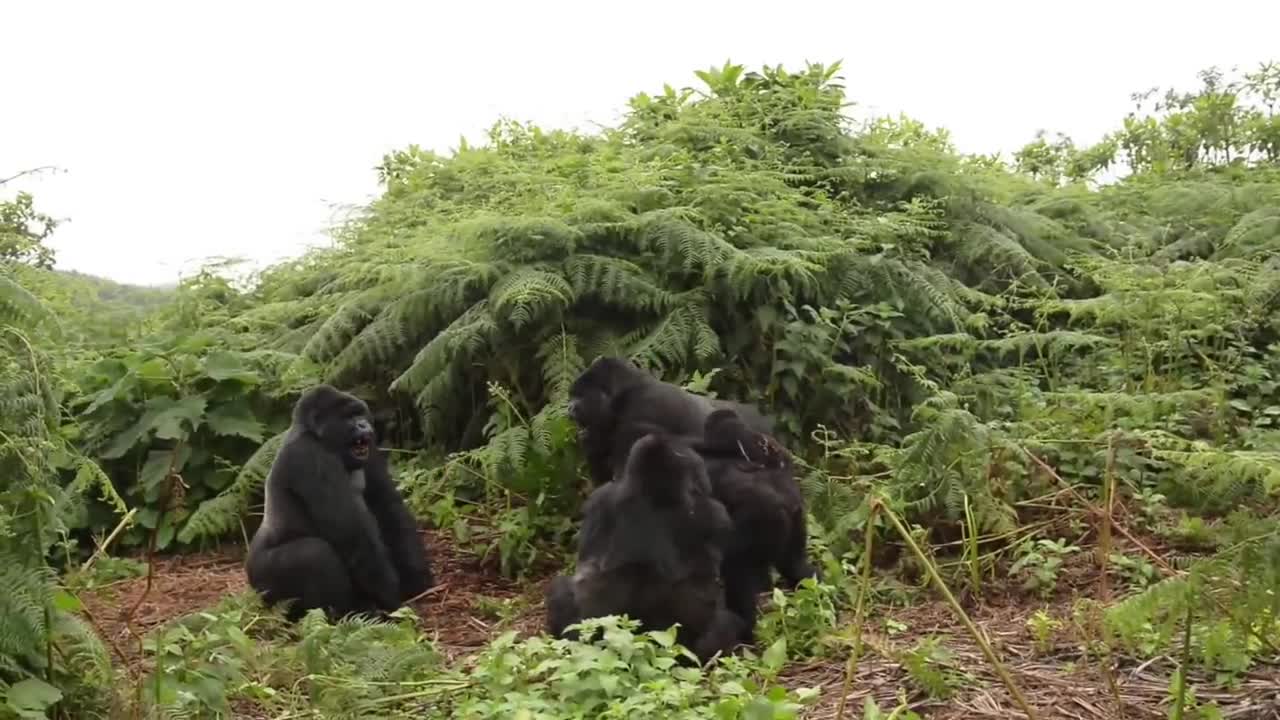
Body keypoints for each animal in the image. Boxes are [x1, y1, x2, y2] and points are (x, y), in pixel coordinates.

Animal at [244, 384, 435, 620]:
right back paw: (343, 614)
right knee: (314, 553)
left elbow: (386, 504)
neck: (314, 434)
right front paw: (390, 597)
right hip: (262, 583)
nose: (364, 425)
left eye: (360, 414)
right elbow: (351, 534)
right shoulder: (310, 456)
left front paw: (415, 576)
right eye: (348, 417)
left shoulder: (369, 448)